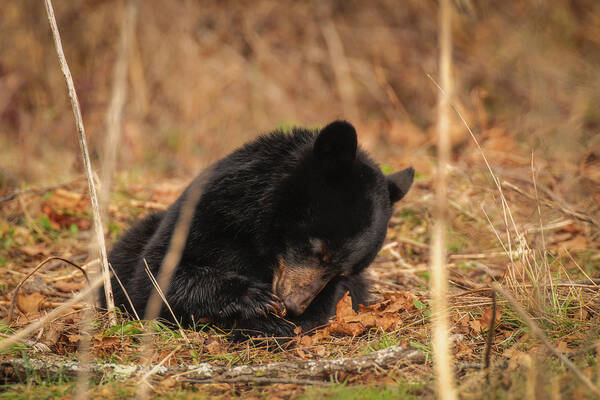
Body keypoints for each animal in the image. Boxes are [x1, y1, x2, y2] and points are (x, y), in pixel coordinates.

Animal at [103, 121, 412, 338]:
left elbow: (323, 308)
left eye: (342, 273)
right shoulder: (212, 211)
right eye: (317, 250)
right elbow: (153, 276)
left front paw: (275, 322)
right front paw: (255, 298)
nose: (293, 304)